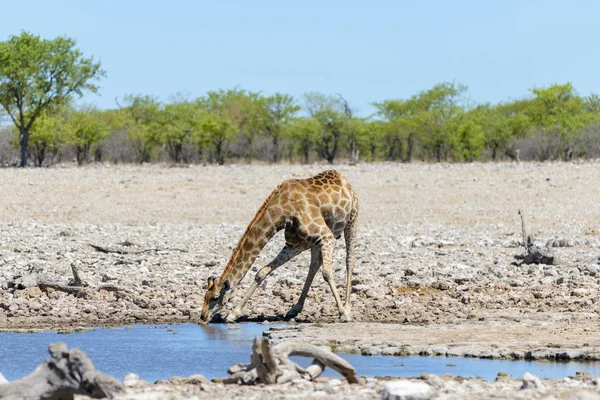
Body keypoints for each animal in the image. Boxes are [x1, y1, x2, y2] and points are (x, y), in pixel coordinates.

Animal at [199, 168, 358, 322]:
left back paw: (347, 307)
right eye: (204, 297)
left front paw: (343, 314)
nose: (203, 317)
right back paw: (294, 309)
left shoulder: (327, 236)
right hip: (313, 242)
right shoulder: (294, 244)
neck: (281, 211)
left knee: (349, 260)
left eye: (215, 297)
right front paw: (233, 314)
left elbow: (327, 273)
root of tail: (344, 180)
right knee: (314, 264)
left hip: (352, 219)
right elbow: (261, 272)